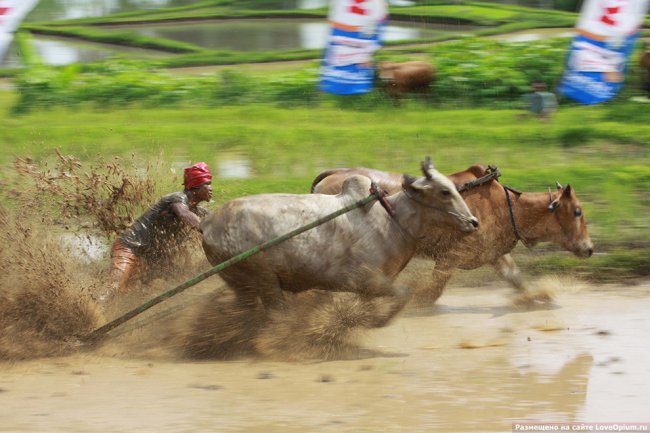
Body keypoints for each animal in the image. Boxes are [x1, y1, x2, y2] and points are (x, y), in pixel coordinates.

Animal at [310, 165, 592, 304]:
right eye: (577, 211)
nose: (589, 248)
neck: (508, 205)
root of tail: (334, 174)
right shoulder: (451, 257)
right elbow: (431, 292)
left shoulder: (493, 254)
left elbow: (516, 278)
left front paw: (538, 296)